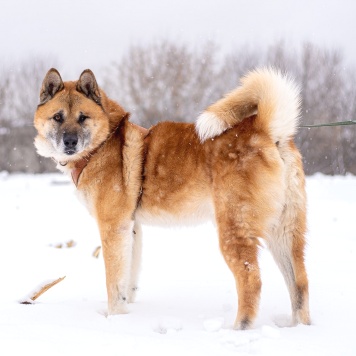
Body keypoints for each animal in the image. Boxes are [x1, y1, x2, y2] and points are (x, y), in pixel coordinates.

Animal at [34, 66, 310, 328]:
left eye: (83, 117)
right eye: (58, 117)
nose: (70, 142)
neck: (103, 143)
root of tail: (265, 130)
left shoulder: (112, 227)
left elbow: (113, 282)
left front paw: (114, 318)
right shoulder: (131, 228)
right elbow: (128, 279)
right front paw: (126, 314)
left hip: (234, 230)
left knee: (252, 280)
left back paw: (240, 327)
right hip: (284, 233)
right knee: (300, 282)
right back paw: (300, 327)